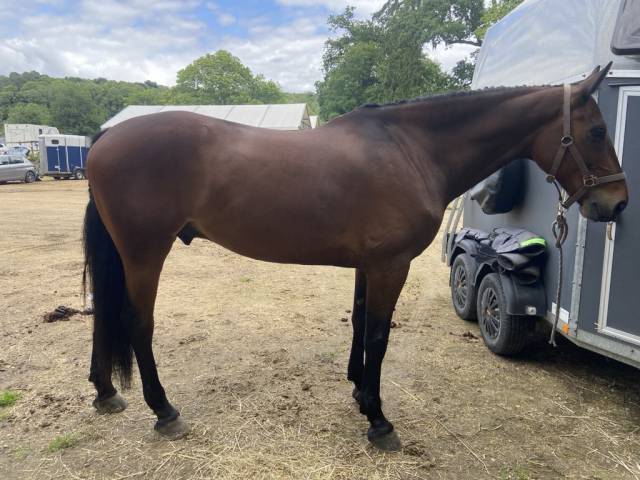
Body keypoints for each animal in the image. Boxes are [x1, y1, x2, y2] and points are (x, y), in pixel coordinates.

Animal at [83, 63, 627, 449]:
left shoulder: (370, 266)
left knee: (105, 317)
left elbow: (360, 325)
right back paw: (164, 411)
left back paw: (106, 393)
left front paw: (358, 392)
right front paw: (379, 420)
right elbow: (379, 337)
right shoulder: (391, 266)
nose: (616, 203)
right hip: (145, 253)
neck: (411, 150)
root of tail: (107, 136)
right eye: (598, 131)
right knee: (136, 323)